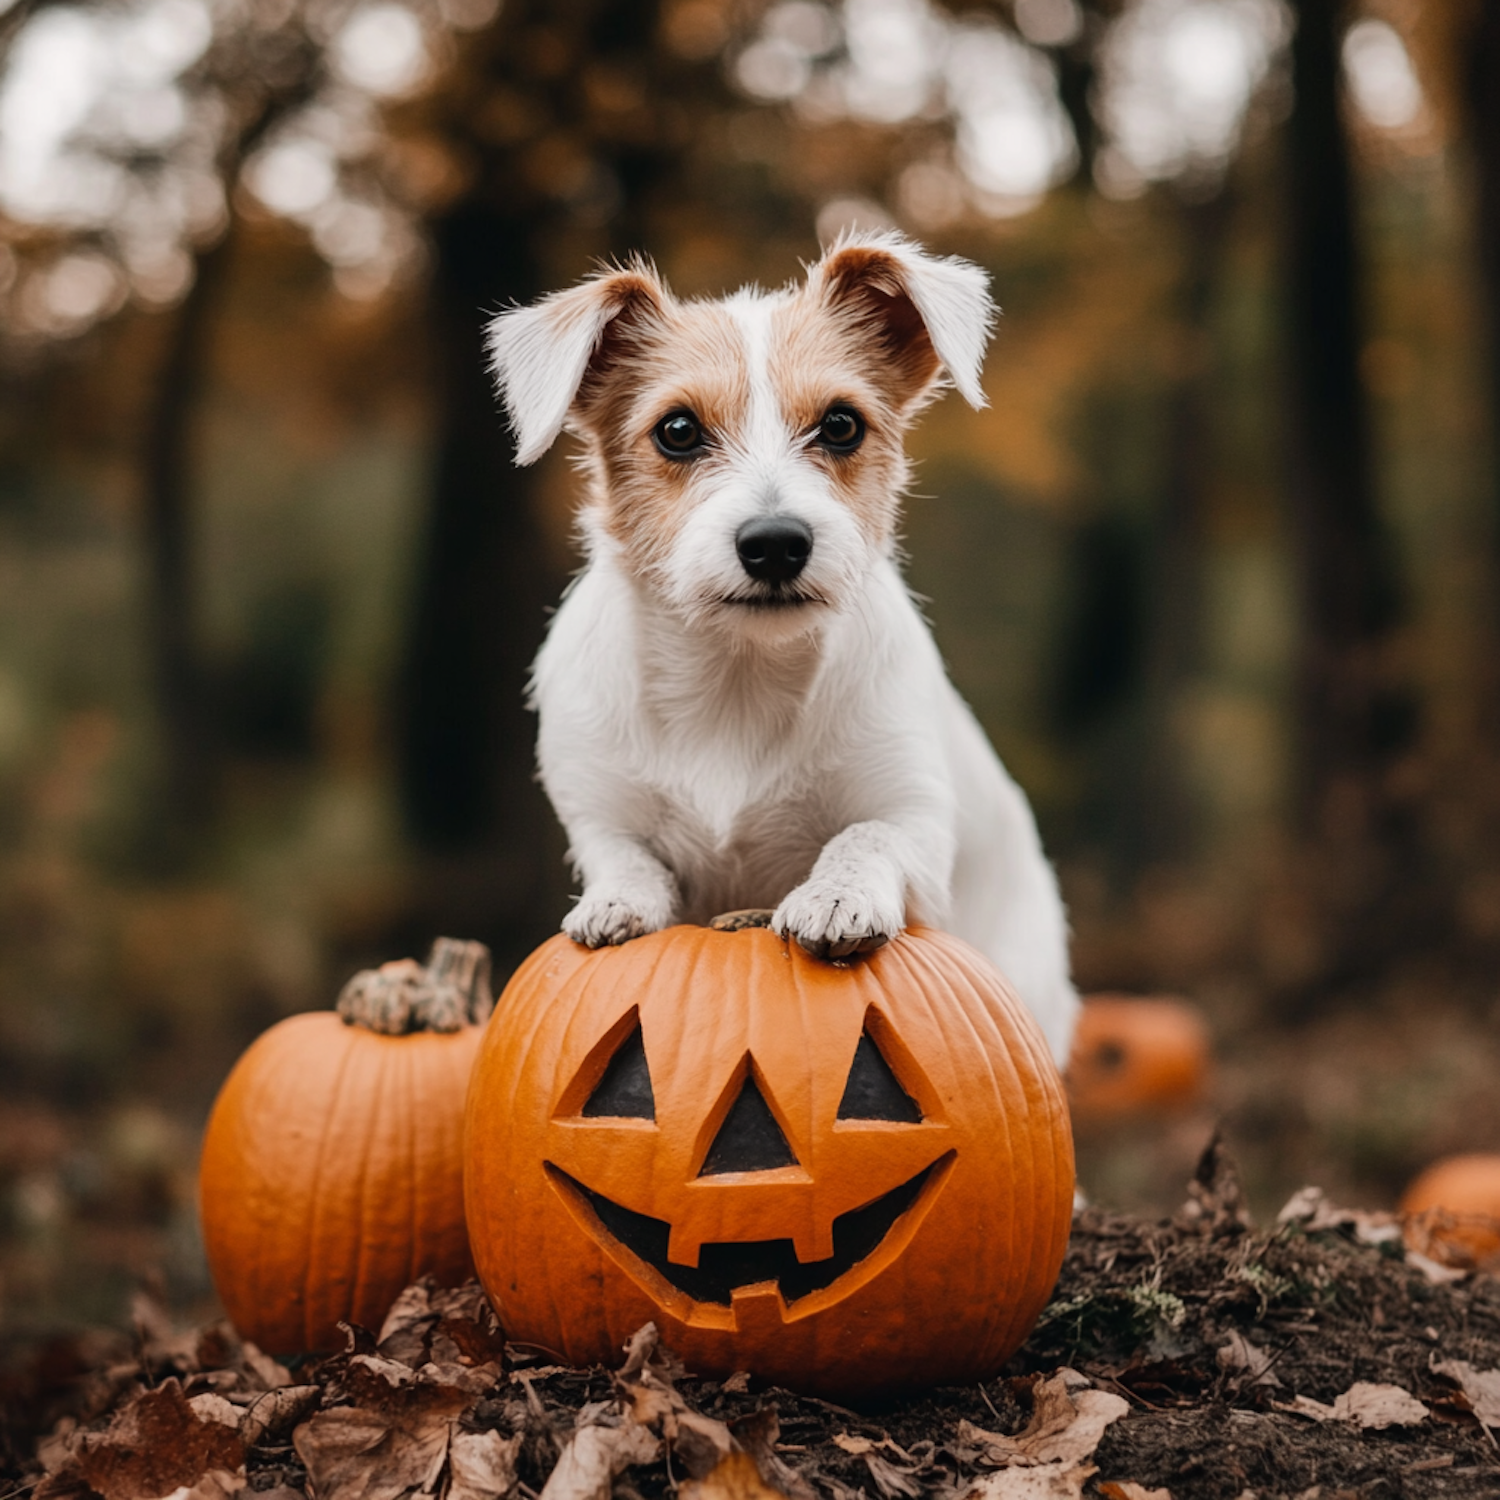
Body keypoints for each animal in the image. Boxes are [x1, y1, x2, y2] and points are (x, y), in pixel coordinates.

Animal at [489, 231, 1080, 1068]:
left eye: (841, 426)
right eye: (677, 431)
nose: (774, 544)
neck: (739, 677)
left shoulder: (916, 819)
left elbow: (867, 834)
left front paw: (836, 895)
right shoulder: (598, 814)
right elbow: (625, 857)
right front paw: (617, 902)